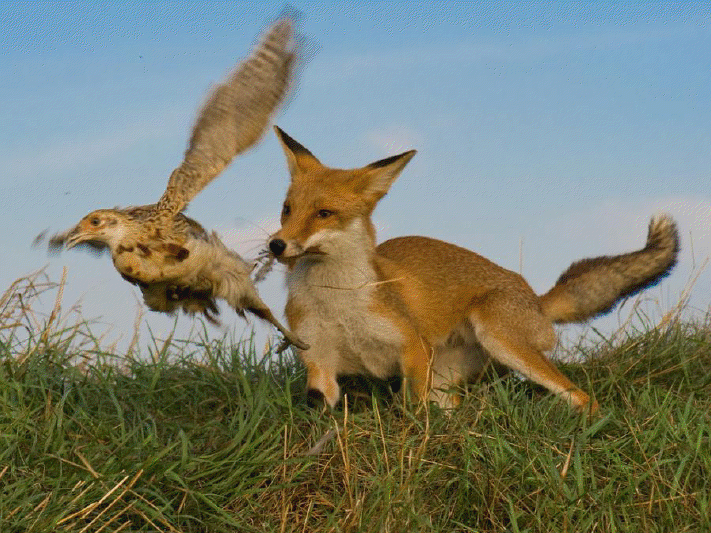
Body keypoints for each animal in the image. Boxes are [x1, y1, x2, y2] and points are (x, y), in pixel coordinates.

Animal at [270, 127, 680, 414]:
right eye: (287, 209)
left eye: (324, 213)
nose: (276, 245)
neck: (338, 305)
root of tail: (536, 299)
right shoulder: (320, 365)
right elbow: (320, 409)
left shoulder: (413, 348)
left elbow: (411, 414)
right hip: (446, 381)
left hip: (501, 339)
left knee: (582, 398)